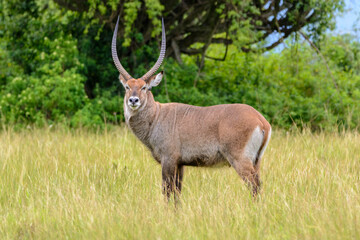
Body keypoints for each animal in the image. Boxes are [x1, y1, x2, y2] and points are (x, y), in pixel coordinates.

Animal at [111, 17, 272, 201]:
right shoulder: (180, 164)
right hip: (256, 161)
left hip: (240, 160)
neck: (156, 116)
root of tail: (261, 120)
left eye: (144, 87)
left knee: (254, 186)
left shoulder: (169, 160)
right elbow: (177, 193)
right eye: (127, 87)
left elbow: (167, 192)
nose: (133, 100)